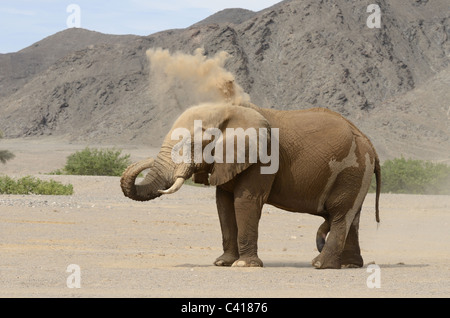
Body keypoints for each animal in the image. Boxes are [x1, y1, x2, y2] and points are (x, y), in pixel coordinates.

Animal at [119, 102, 380, 268]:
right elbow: (223, 203)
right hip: (356, 173)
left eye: (192, 143)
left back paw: (320, 265)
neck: (229, 108)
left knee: (340, 214)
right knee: (350, 216)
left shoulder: (262, 158)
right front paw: (223, 263)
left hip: (352, 169)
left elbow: (245, 200)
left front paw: (243, 265)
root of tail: (369, 143)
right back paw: (349, 265)